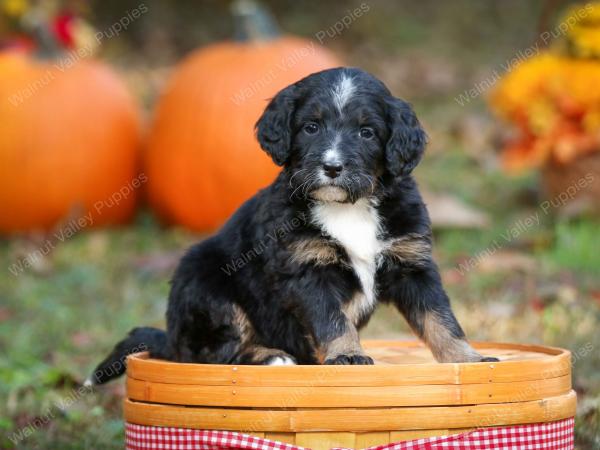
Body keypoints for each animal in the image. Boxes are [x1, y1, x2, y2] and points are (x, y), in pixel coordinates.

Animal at [86, 67, 494, 384]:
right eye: (311, 127)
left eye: (367, 132)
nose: (332, 167)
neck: (348, 208)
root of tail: (170, 338)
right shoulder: (307, 269)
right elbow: (332, 320)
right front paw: (347, 356)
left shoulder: (412, 263)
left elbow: (440, 318)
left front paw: (469, 359)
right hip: (204, 281)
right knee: (211, 354)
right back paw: (271, 356)